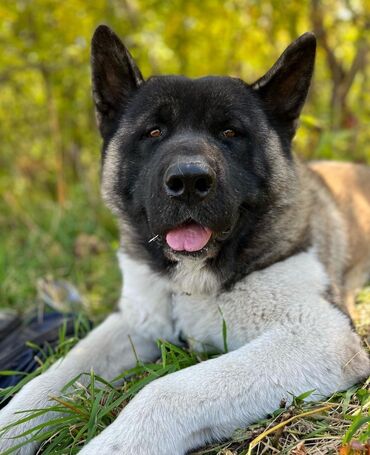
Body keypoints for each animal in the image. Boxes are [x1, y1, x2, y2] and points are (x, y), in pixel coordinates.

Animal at [0, 25, 370, 455]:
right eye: (154, 132)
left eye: (230, 132)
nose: (189, 181)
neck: (192, 280)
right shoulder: (133, 322)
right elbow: (46, 380)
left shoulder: (319, 334)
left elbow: (165, 390)